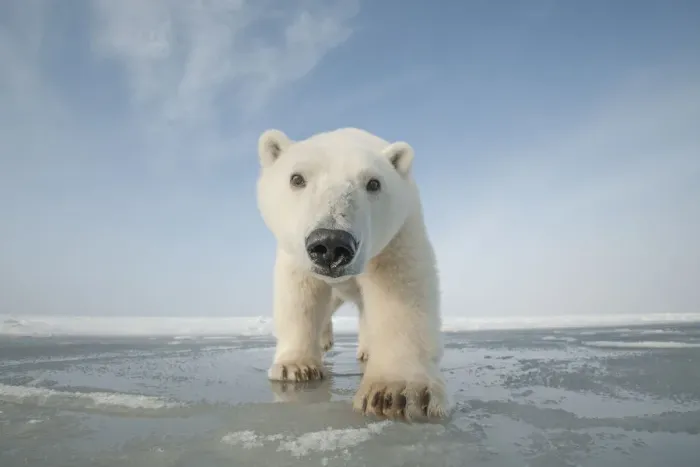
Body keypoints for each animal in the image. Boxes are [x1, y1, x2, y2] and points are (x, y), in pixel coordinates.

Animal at [255, 127, 449, 421]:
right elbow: (300, 294)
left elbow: (400, 288)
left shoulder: (397, 237)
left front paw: (397, 393)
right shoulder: (296, 254)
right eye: (297, 178)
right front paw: (295, 367)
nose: (331, 243)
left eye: (374, 183)